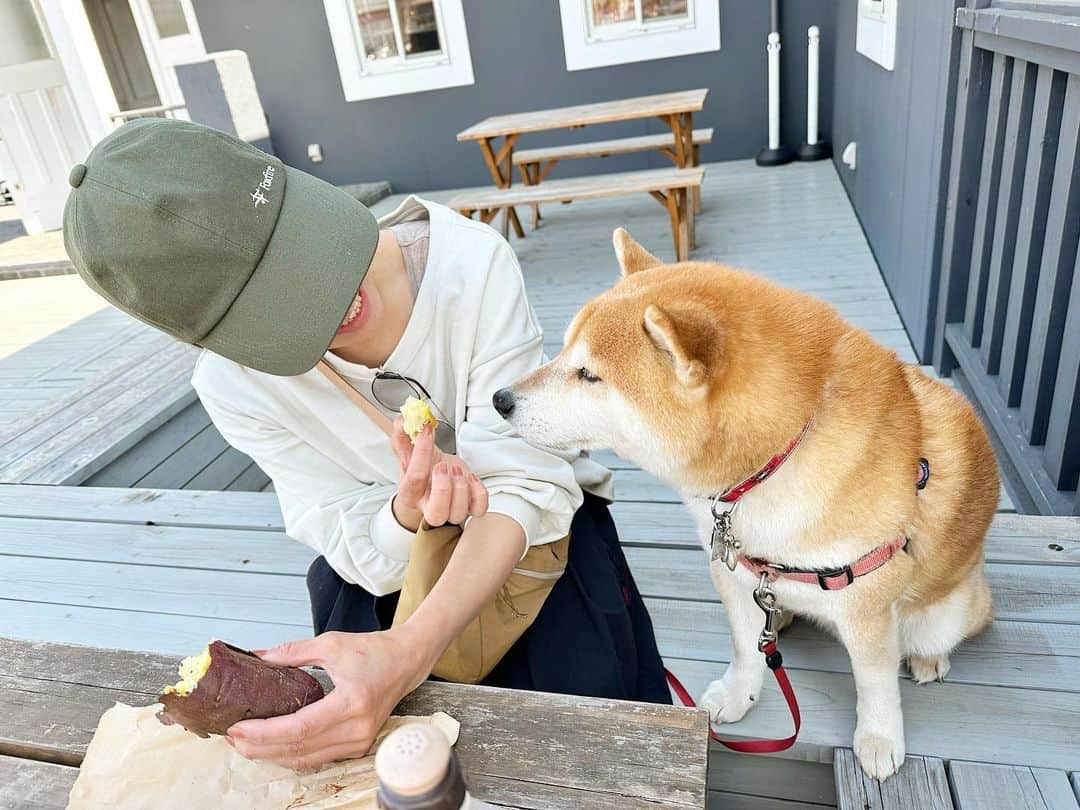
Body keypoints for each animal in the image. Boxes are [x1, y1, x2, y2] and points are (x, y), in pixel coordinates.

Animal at [494, 226, 997, 781]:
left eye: (589, 375)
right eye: (562, 353)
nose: (500, 399)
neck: (775, 461)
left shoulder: (865, 596)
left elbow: (874, 681)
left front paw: (879, 738)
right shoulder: (731, 568)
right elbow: (744, 646)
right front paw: (740, 694)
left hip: (948, 611)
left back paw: (930, 658)